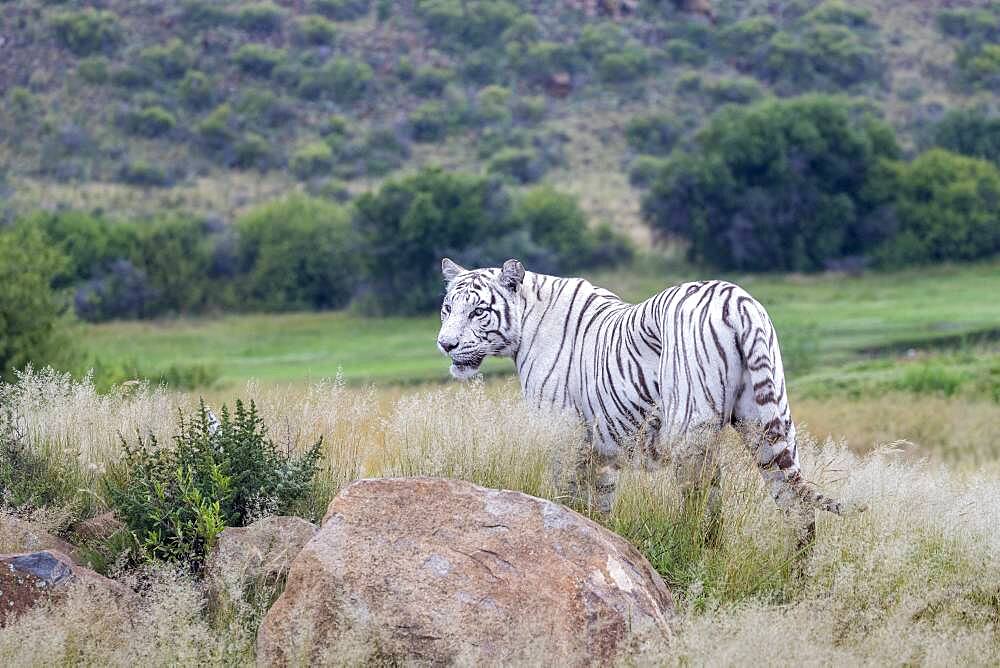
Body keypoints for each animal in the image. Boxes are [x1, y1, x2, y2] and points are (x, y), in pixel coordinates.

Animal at [434, 258, 848, 540]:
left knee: (702, 497)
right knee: (794, 503)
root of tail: (738, 301)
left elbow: (566, 496)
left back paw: (691, 547)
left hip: (689, 430)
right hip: (767, 423)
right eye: (447, 308)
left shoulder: (562, 432)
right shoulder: (600, 448)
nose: (445, 344)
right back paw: (796, 577)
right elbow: (600, 504)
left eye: (478, 311)